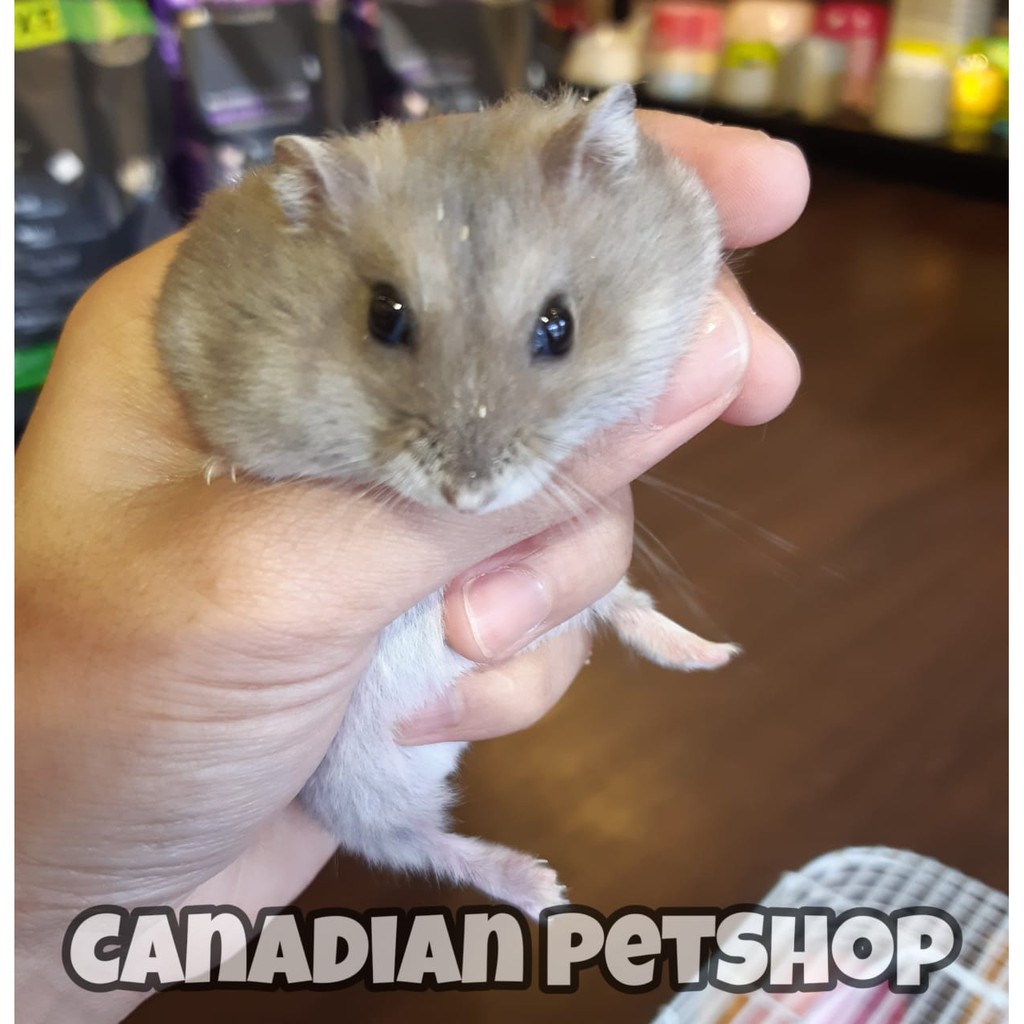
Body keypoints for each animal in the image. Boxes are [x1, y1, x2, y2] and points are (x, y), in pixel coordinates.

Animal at [155, 84, 738, 919]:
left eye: (559, 326)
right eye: (384, 316)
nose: (467, 499)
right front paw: (218, 473)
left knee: (623, 607)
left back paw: (711, 654)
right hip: (348, 785)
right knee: (410, 845)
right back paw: (544, 888)